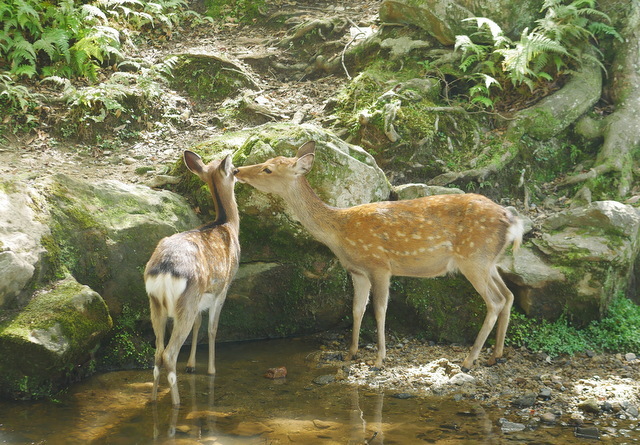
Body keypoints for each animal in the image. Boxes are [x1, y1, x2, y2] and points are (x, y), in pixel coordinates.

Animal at [144, 151, 240, 404]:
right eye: (234, 170)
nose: (240, 172)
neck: (227, 224)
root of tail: (165, 269)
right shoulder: (223, 288)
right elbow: (212, 328)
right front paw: (212, 370)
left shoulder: (201, 299)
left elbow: (199, 323)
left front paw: (192, 365)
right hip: (185, 300)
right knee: (169, 354)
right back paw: (177, 402)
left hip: (156, 304)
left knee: (157, 353)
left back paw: (154, 399)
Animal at [232, 141, 524, 368]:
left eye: (268, 168)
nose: (236, 169)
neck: (339, 233)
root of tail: (512, 220)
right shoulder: (357, 270)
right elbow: (357, 308)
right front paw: (350, 353)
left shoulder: (380, 264)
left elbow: (380, 309)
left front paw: (379, 359)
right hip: (489, 261)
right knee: (509, 295)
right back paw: (495, 355)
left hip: (473, 258)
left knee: (495, 301)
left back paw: (469, 360)